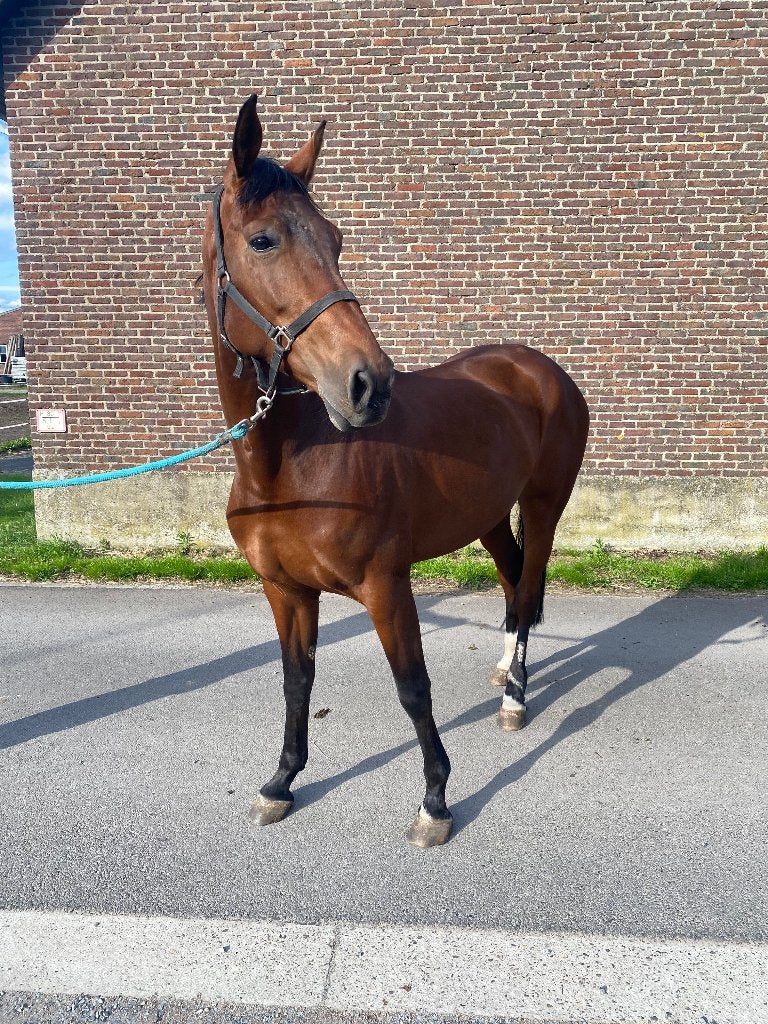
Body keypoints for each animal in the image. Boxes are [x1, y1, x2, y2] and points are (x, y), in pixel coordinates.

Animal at [202, 96, 590, 848]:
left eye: (336, 239)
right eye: (263, 241)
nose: (368, 383)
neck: (289, 469)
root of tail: (539, 368)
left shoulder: (387, 586)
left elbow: (413, 687)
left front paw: (436, 800)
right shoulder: (285, 592)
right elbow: (296, 682)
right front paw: (281, 783)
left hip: (544, 504)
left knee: (528, 587)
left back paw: (516, 697)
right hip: (488, 515)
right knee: (511, 584)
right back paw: (507, 674)